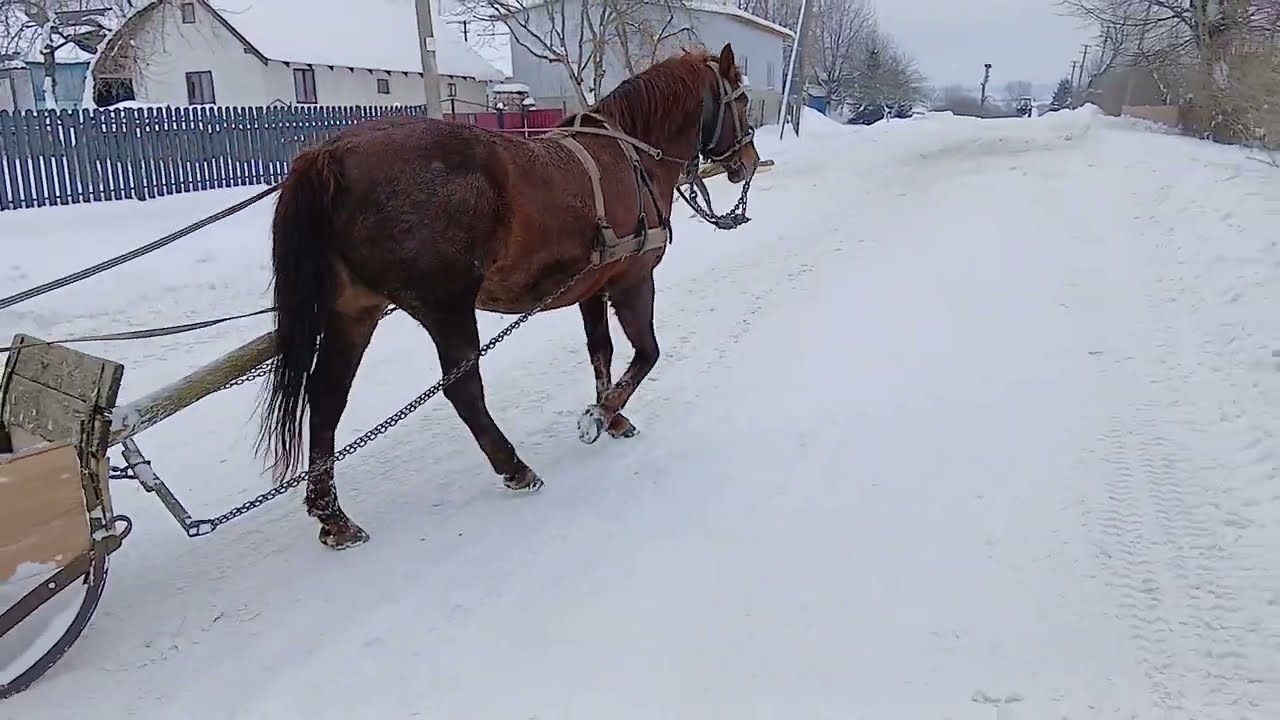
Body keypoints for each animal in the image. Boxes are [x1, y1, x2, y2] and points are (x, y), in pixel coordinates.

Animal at [257, 43, 761, 550]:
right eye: (741, 99)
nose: (750, 160)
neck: (632, 157)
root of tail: (330, 154)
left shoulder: (591, 287)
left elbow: (601, 351)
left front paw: (612, 417)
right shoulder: (632, 280)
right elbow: (647, 354)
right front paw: (599, 416)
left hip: (355, 311)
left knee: (326, 398)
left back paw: (332, 516)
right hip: (447, 307)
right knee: (462, 389)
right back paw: (515, 468)